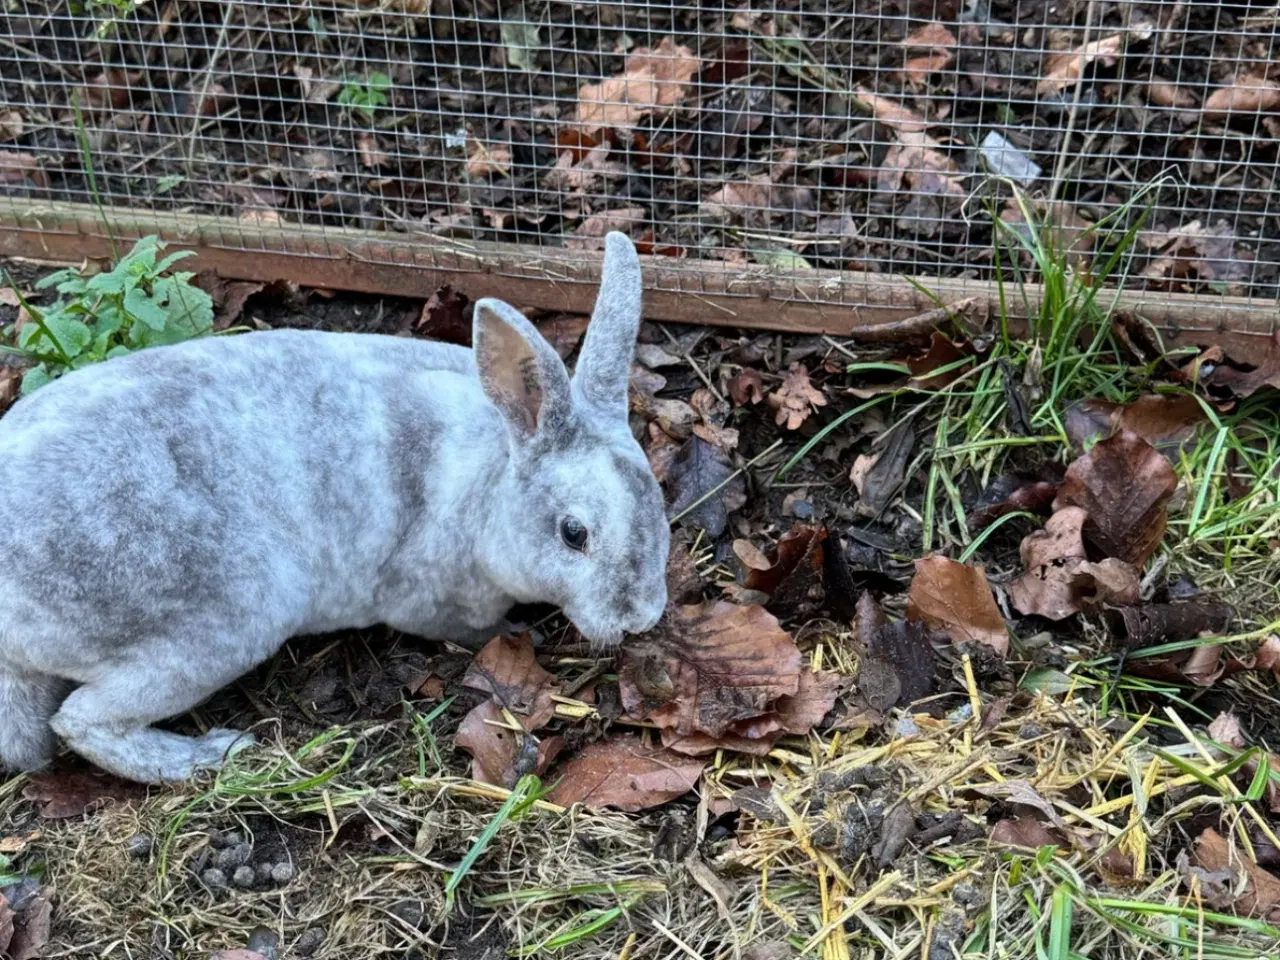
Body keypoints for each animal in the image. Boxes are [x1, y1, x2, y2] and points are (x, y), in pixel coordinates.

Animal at [0, 231, 665, 783]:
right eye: (574, 533)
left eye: (658, 505)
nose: (642, 617)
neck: (493, 473)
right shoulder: (433, 601)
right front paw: (518, 631)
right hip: (219, 623)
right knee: (80, 720)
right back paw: (209, 756)